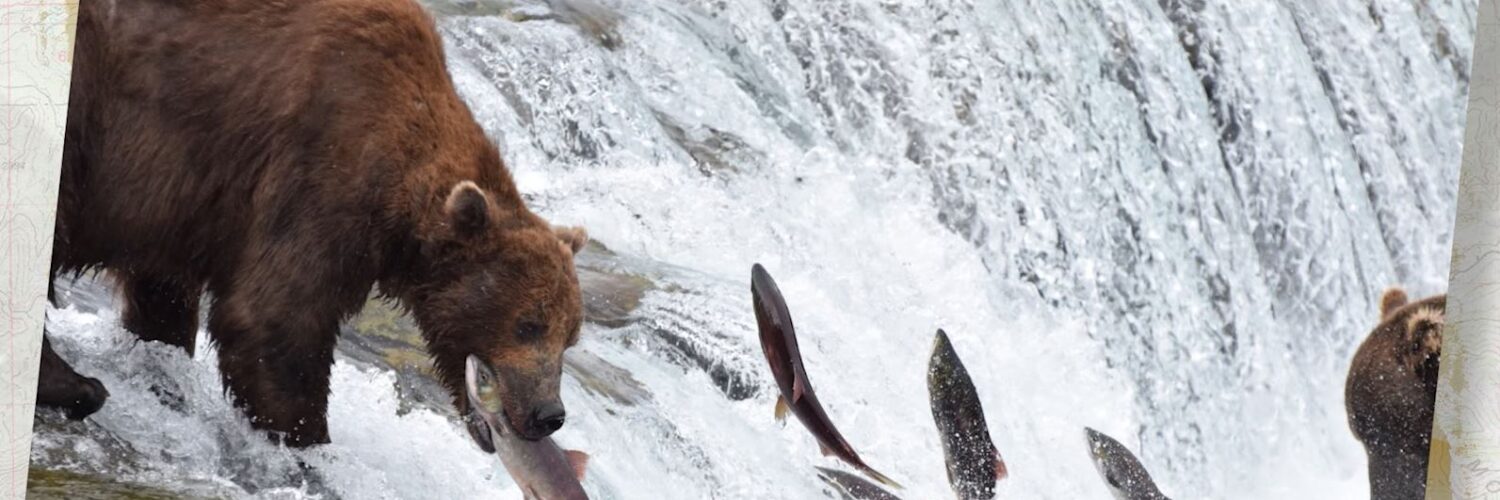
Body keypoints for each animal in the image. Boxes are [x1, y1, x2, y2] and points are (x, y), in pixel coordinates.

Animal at [34, 0, 588, 449]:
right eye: (528, 324)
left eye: (570, 337)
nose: (549, 414)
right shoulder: (319, 165)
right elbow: (276, 317)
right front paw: (307, 439)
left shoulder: (186, 209)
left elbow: (163, 297)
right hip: (81, 102)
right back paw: (77, 386)